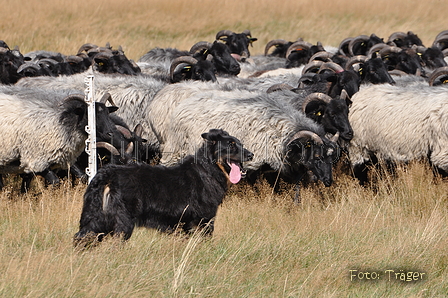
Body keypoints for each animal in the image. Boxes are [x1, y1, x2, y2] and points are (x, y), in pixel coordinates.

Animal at [75, 129, 254, 246]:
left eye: (240, 144)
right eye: (230, 145)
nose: (251, 154)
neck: (208, 170)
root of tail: (106, 175)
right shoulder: (204, 221)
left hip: (95, 219)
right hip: (121, 223)